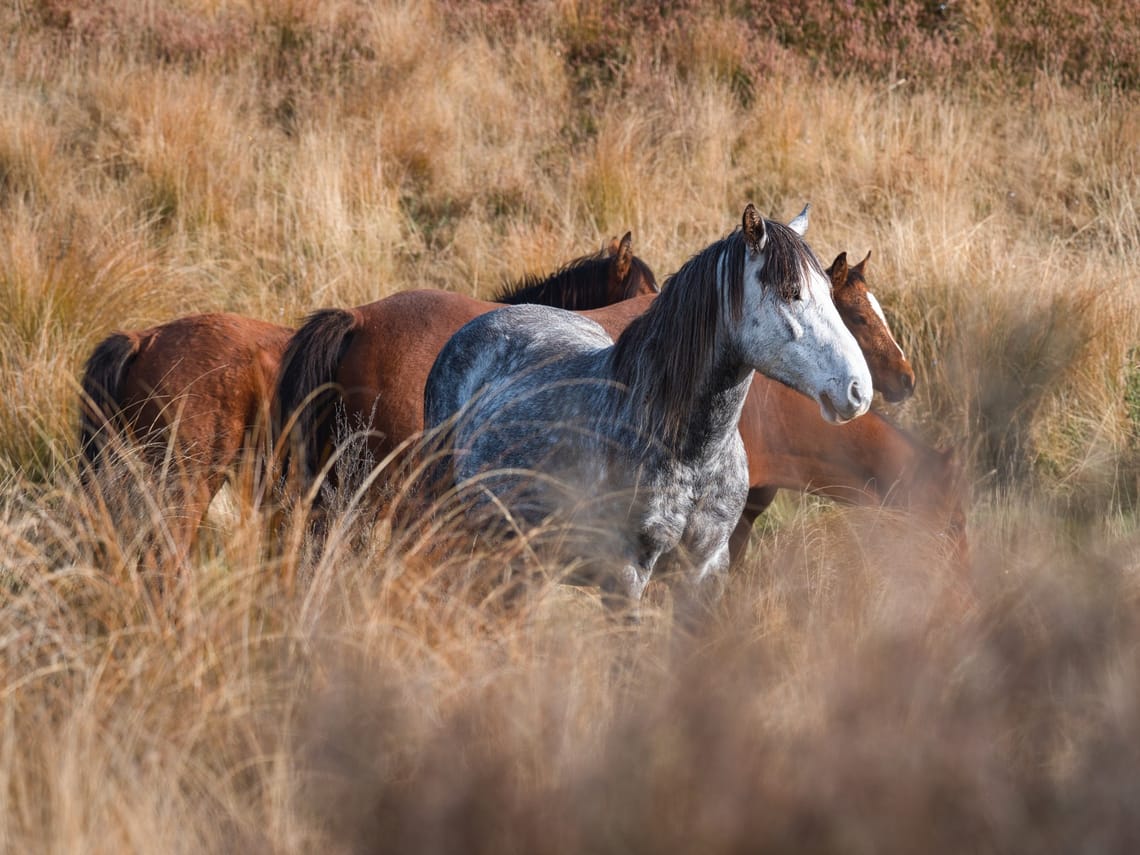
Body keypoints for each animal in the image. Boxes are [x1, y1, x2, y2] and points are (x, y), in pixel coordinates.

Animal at [421, 204, 870, 620]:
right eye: (792, 291)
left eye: (830, 295)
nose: (859, 390)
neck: (691, 454)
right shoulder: (626, 575)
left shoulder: (705, 572)